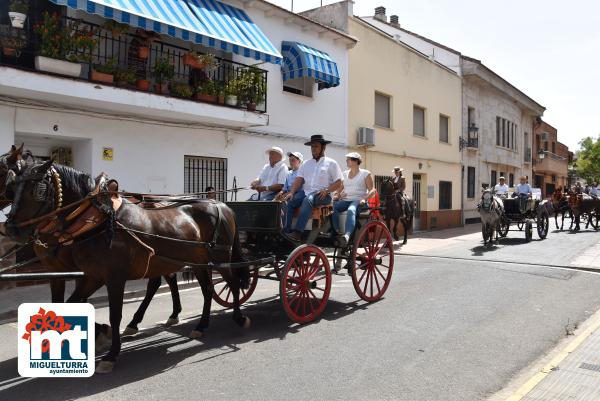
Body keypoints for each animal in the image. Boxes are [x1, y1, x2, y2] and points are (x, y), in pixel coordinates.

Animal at [5, 159, 248, 372]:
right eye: (12, 187)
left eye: (38, 189)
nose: (11, 229)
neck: (97, 220)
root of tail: (221, 204)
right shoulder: (91, 275)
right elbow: (71, 304)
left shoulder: (114, 278)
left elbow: (115, 315)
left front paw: (111, 354)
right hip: (198, 262)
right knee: (207, 290)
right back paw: (200, 326)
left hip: (221, 258)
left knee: (233, 284)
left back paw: (239, 318)